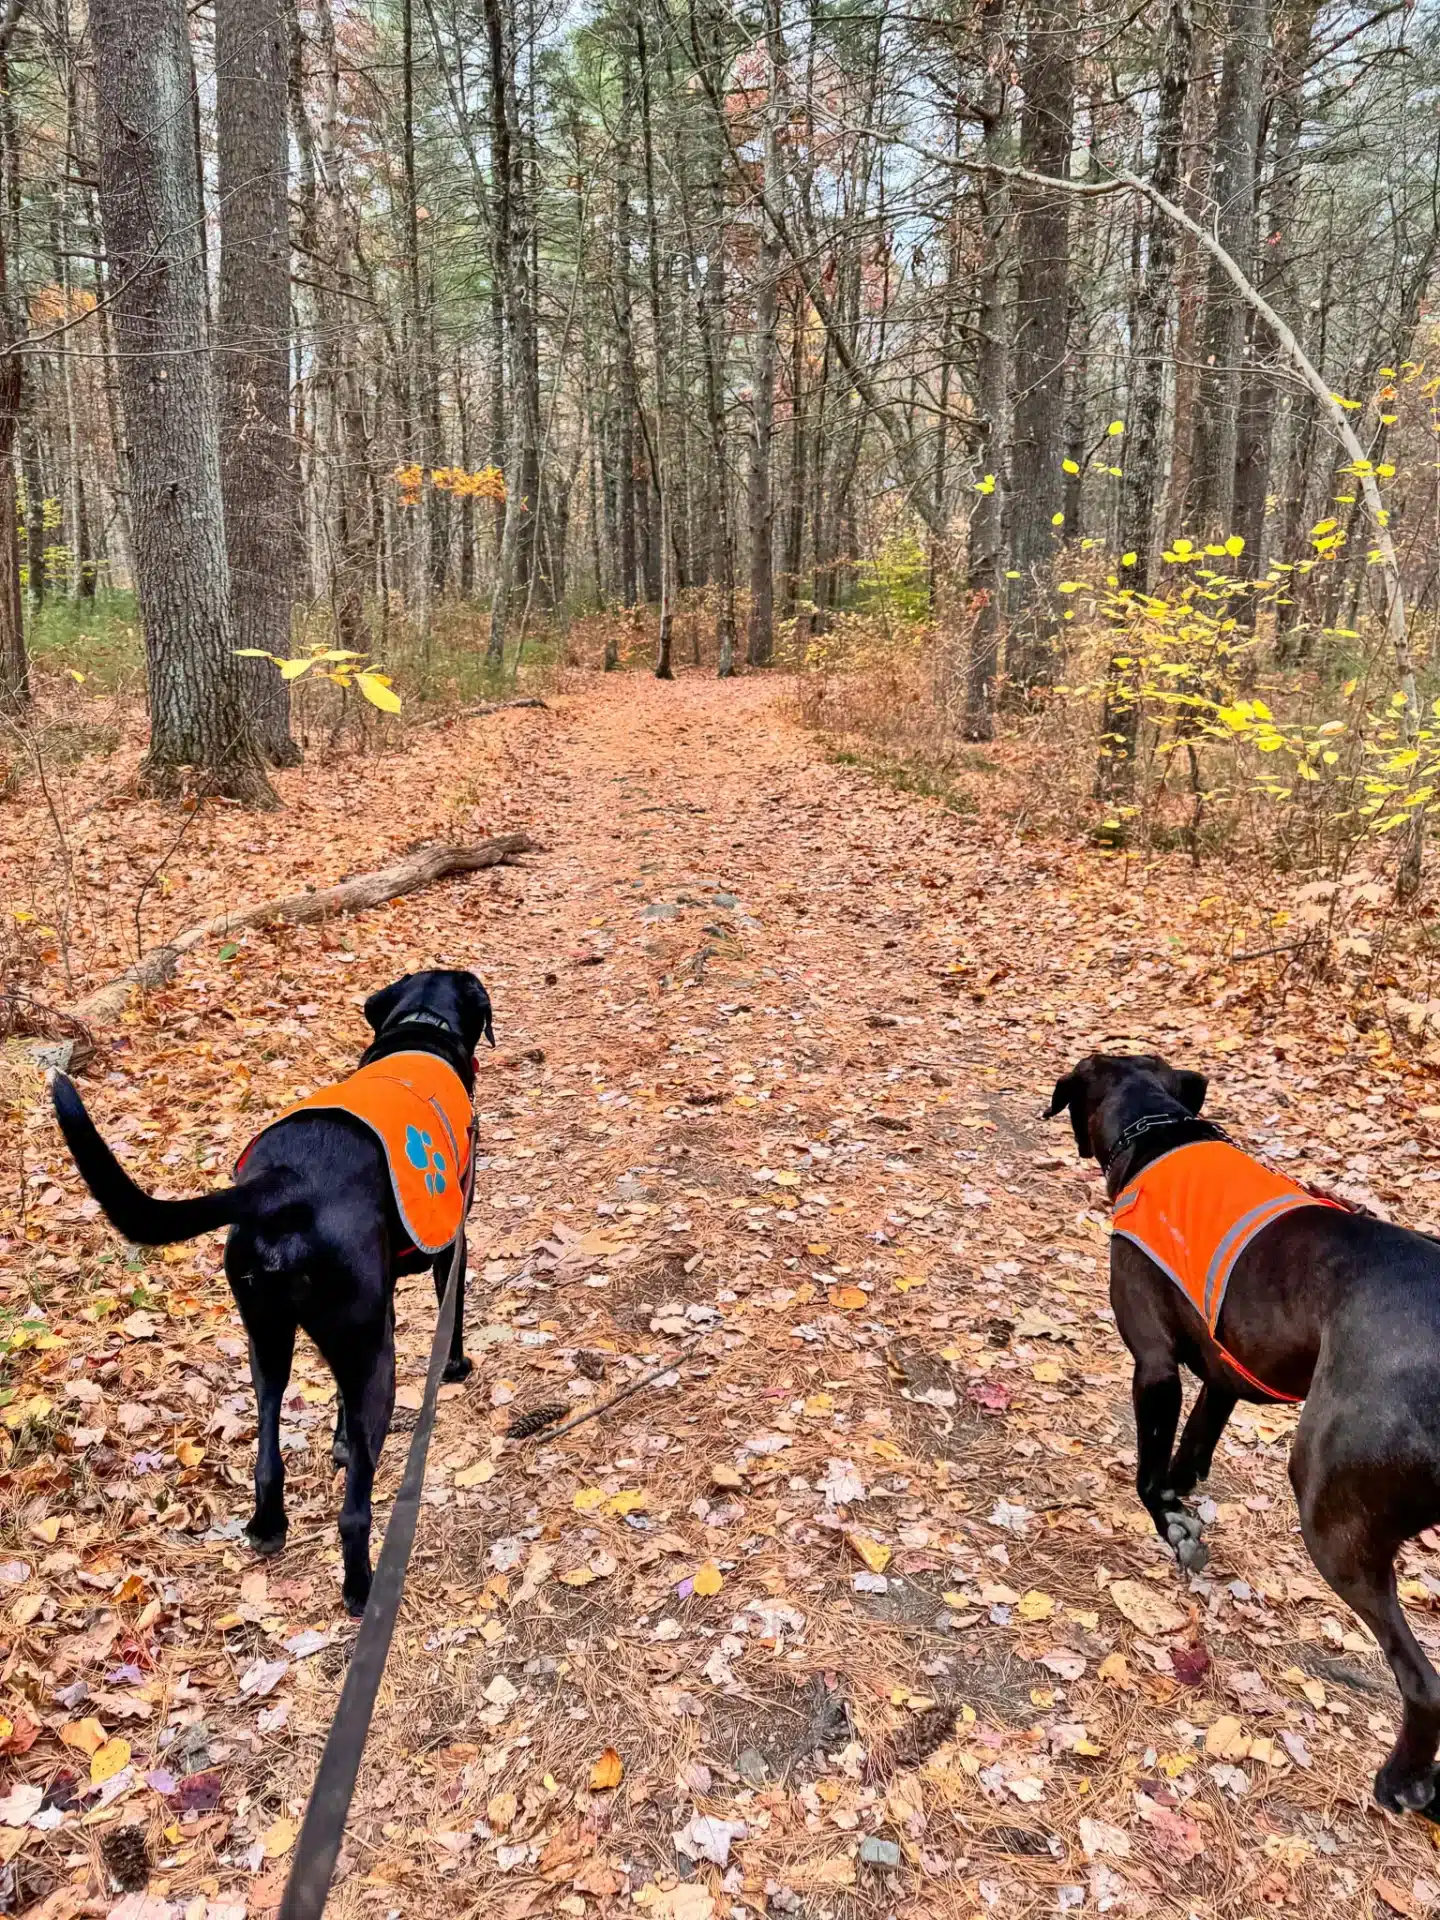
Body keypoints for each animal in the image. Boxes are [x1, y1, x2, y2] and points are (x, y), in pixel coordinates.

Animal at [52, 967, 495, 1612]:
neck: (421, 1028)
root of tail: (286, 1183)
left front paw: (338, 1441)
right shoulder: (448, 1248)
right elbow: (452, 1310)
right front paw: (456, 1366)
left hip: (267, 1339)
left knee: (267, 1448)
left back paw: (267, 1525)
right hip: (372, 1363)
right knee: (353, 1513)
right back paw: (362, 1588)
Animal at [1052, 1059, 1440, 1820]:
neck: (1159, 1128)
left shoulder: (1155, 1365)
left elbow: (1150, 1471)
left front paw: (1173, 1526)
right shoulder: (1222, 1377)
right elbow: (1189, 1453)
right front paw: (1182, 1504)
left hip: (1330, 1513)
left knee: (1422, 1679)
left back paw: (1403, 1781)